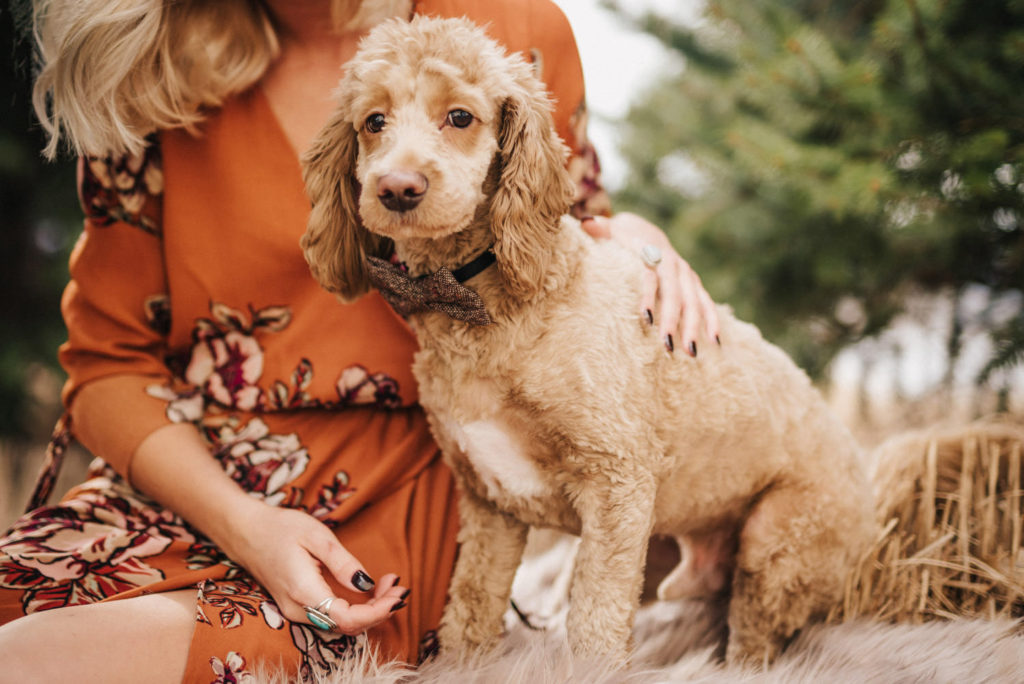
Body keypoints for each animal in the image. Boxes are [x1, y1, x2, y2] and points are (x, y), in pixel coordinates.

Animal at [301, 15, 876, 666]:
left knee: (755, 643)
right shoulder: (490, 508)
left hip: (778, 542)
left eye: (460, 117)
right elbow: (469, 613)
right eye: (373, 122)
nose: (398, 188)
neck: (486, 305)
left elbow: (596, 625)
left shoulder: (616, 484)